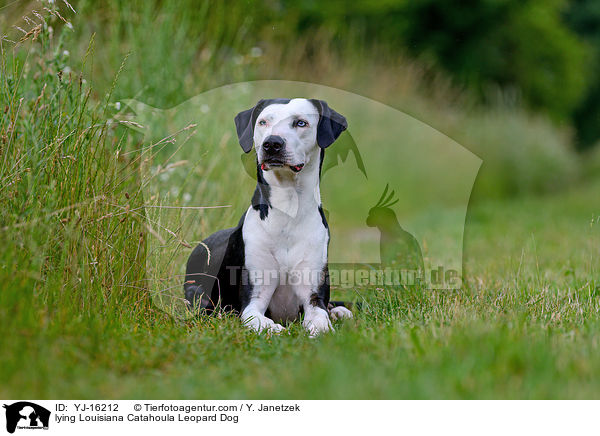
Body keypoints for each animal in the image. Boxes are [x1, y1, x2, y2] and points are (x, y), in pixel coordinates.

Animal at [183, 99, 352, 336]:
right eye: (263, 122)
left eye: (301, 122)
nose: (272, 143)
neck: (288, 208)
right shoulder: (254, 298)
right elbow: (258, 320)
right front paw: (275, 329)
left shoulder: (313, 294)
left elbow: (320, 318)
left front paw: (322, 327)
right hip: (197, 291)